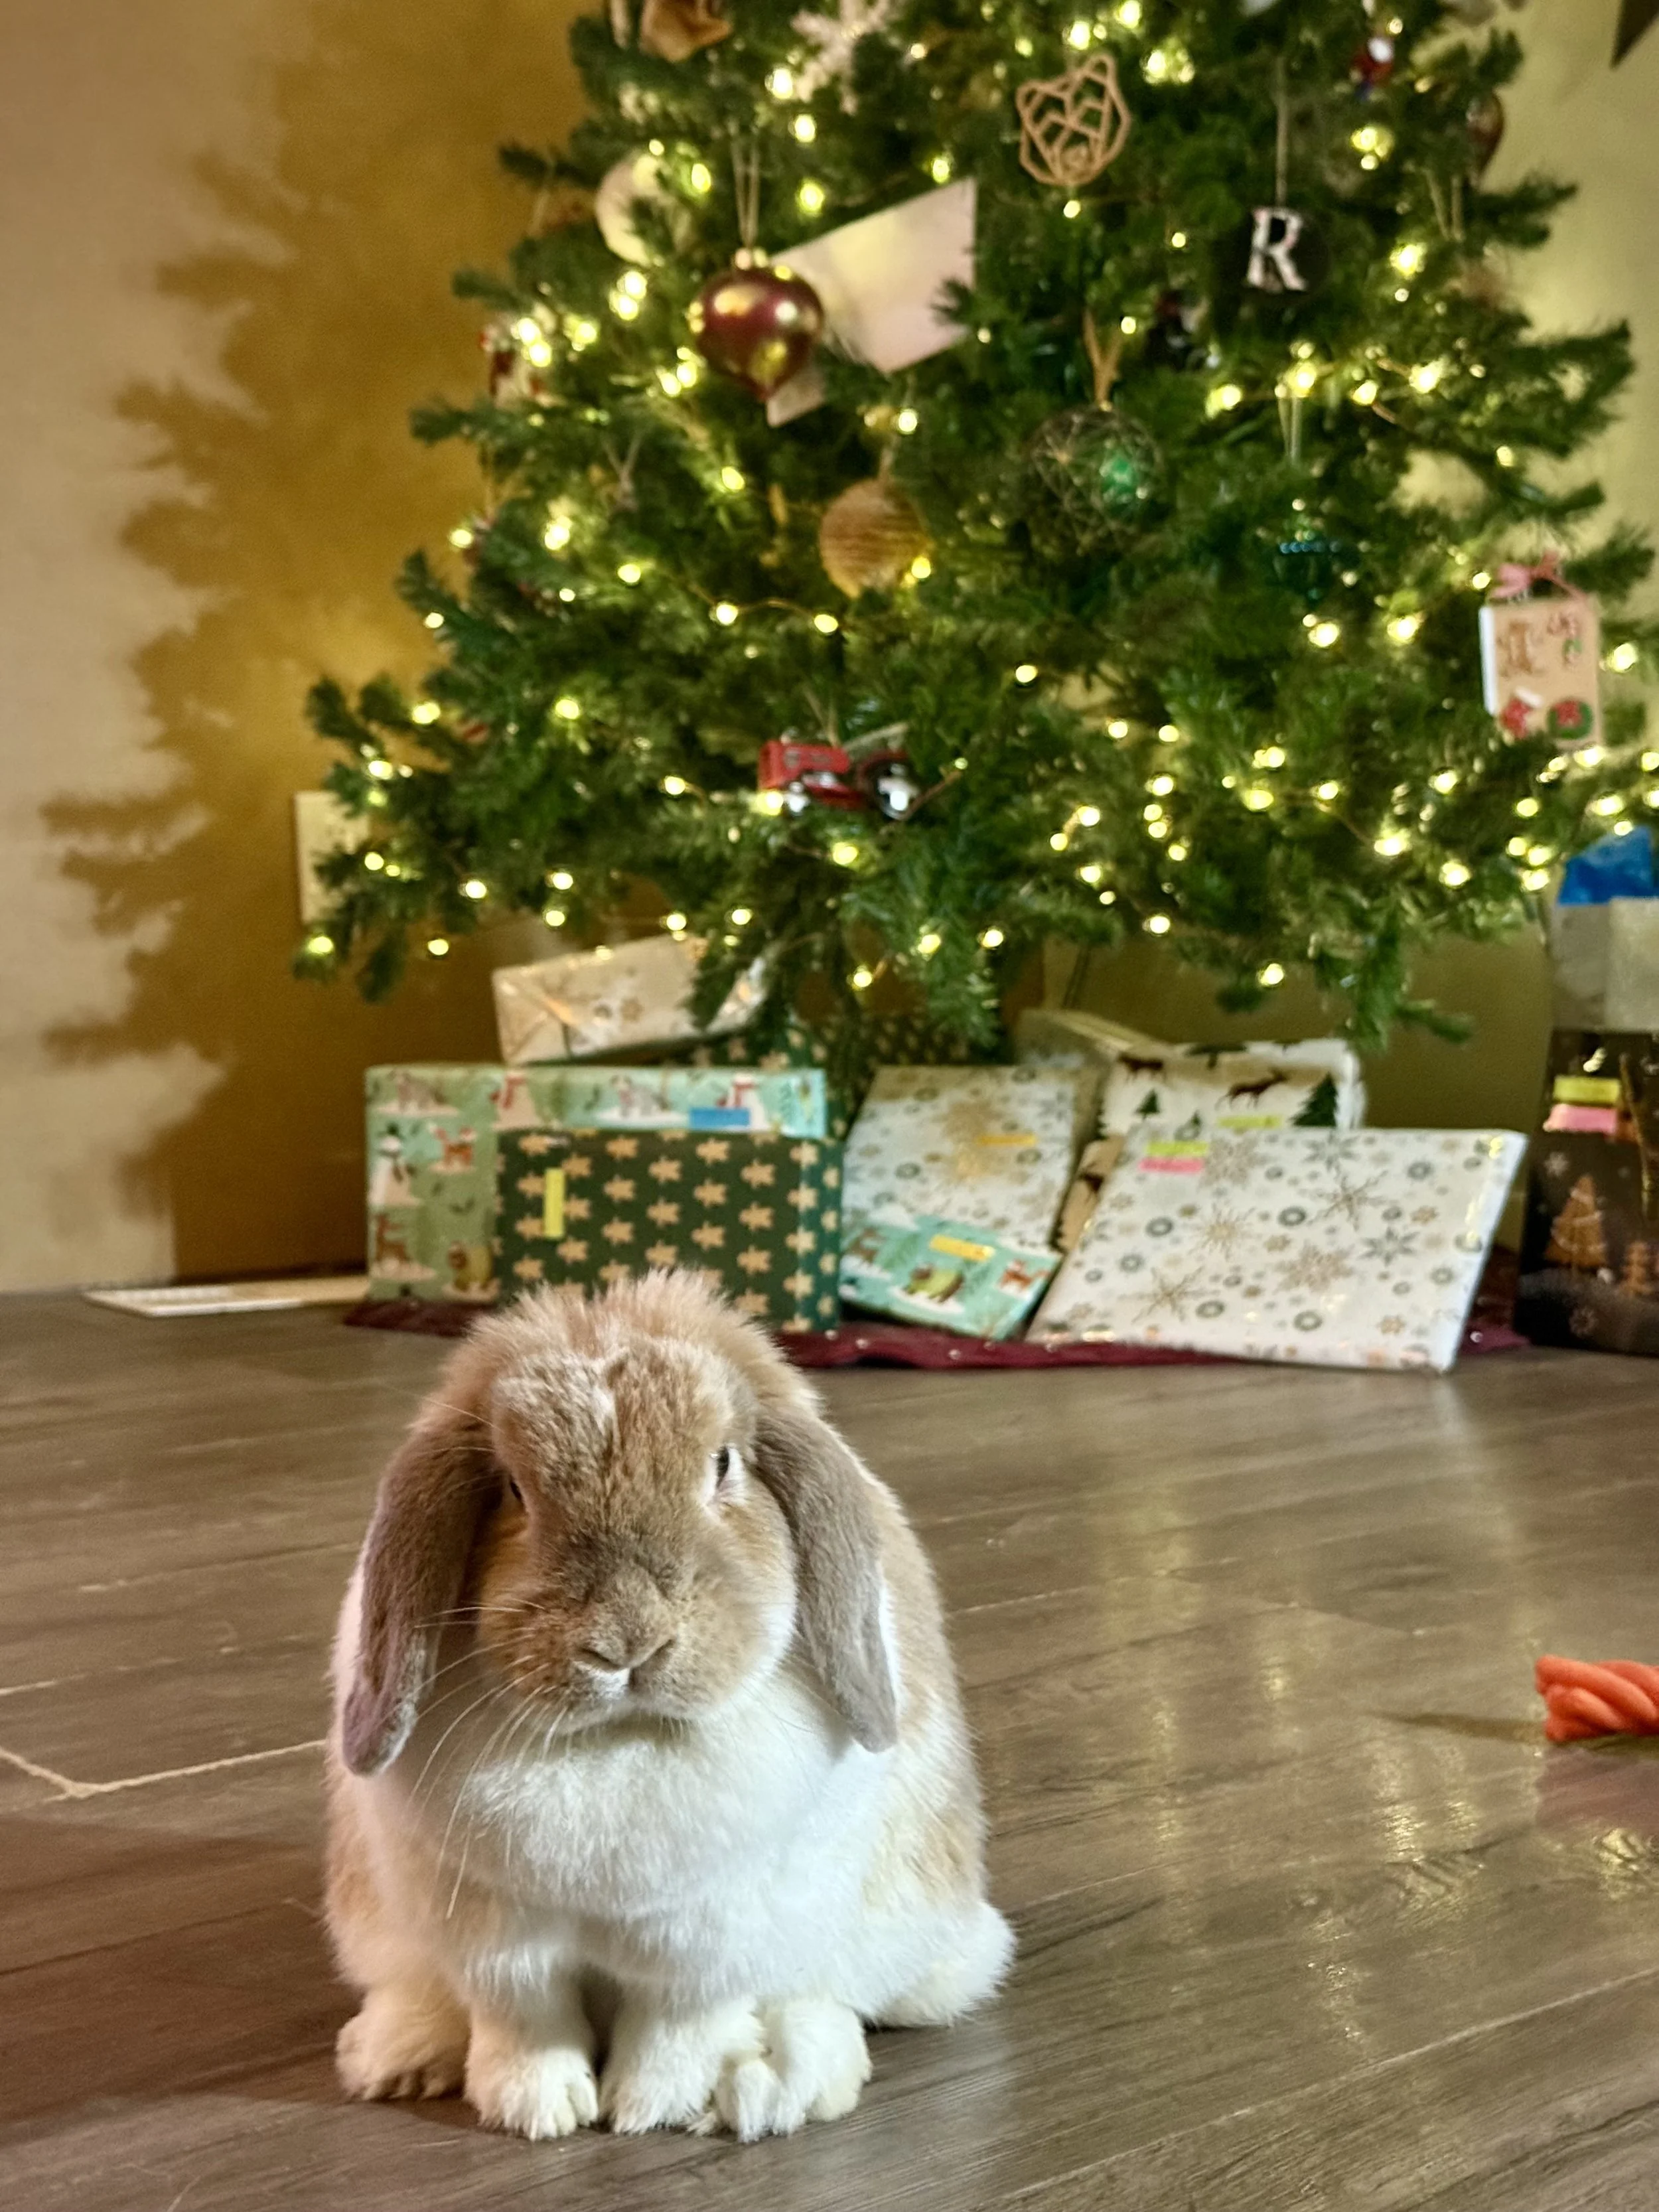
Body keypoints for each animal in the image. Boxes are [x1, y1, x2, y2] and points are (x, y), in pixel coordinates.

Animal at [324, 1270, 1013, 2141]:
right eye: (513, 1489)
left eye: (723, 1465)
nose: (626, 1644)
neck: (621, 1740)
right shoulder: (500, 1942)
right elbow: (525, 2023)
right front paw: (537, 2109)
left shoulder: (703, 1944)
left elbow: (676, 2025)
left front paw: (650, 2108)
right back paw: (400, 2052)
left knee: (824, 2000)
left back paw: (772, 2082)